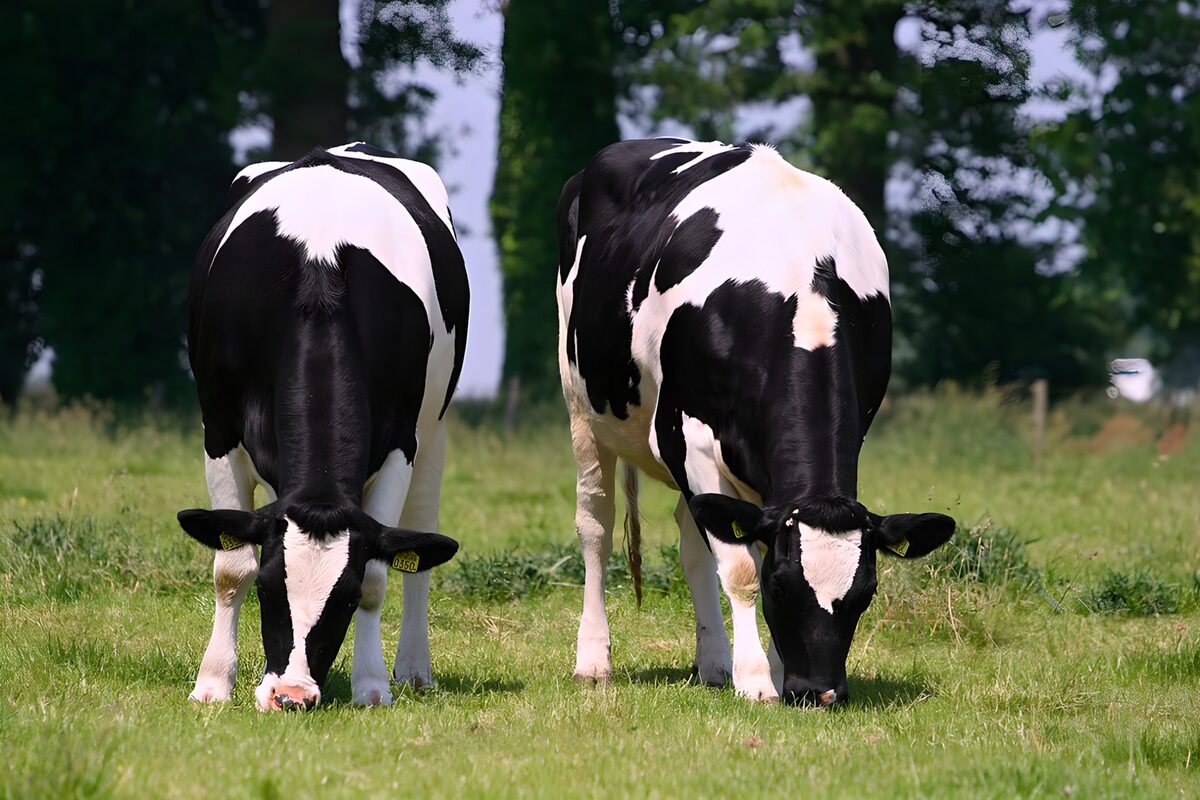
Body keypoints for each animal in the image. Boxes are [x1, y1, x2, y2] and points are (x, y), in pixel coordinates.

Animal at [179, 142, 468, 711]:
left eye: (346, 598)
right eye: (269, 587)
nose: (291, 693)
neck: (316, 281)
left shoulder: (401, 441)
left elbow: (381, 569)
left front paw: (372, 684)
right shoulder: (218, 429)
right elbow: (230, 566)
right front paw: (213, 683)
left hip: (434, 430)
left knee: (420, 541)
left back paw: (414, 669)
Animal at [556, 138, 956, 706]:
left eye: (866, 593)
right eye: (781, 586)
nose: (820, 693)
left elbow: (740, 546)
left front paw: (770, 670)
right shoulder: (689, 438)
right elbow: (742, 565)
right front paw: (756, 681)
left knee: (693, 541)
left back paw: (712, 664)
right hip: (583, 410)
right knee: (597, 526)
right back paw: (593, 661)